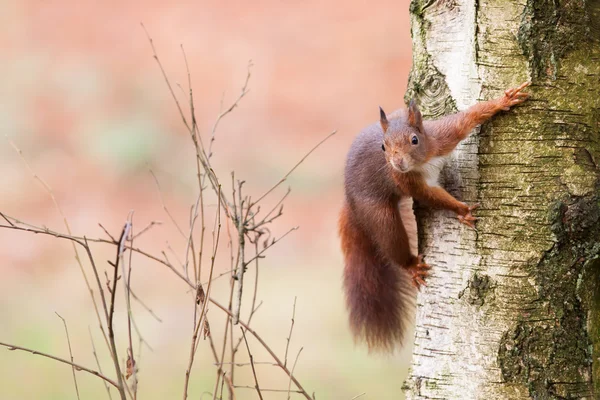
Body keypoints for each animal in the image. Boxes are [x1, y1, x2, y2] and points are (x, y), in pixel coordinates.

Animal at [338, 81, 528, 350]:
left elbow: (468, 118)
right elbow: (434, 198)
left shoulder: (443, 137)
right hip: (378, 213)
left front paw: (503, 100)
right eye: (384, 146)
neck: (423, 161)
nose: (397, 163)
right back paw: (410, 265)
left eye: (414, 139)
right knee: (390, 240)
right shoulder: (409, 182)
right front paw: (462, 210)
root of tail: (348, 196)